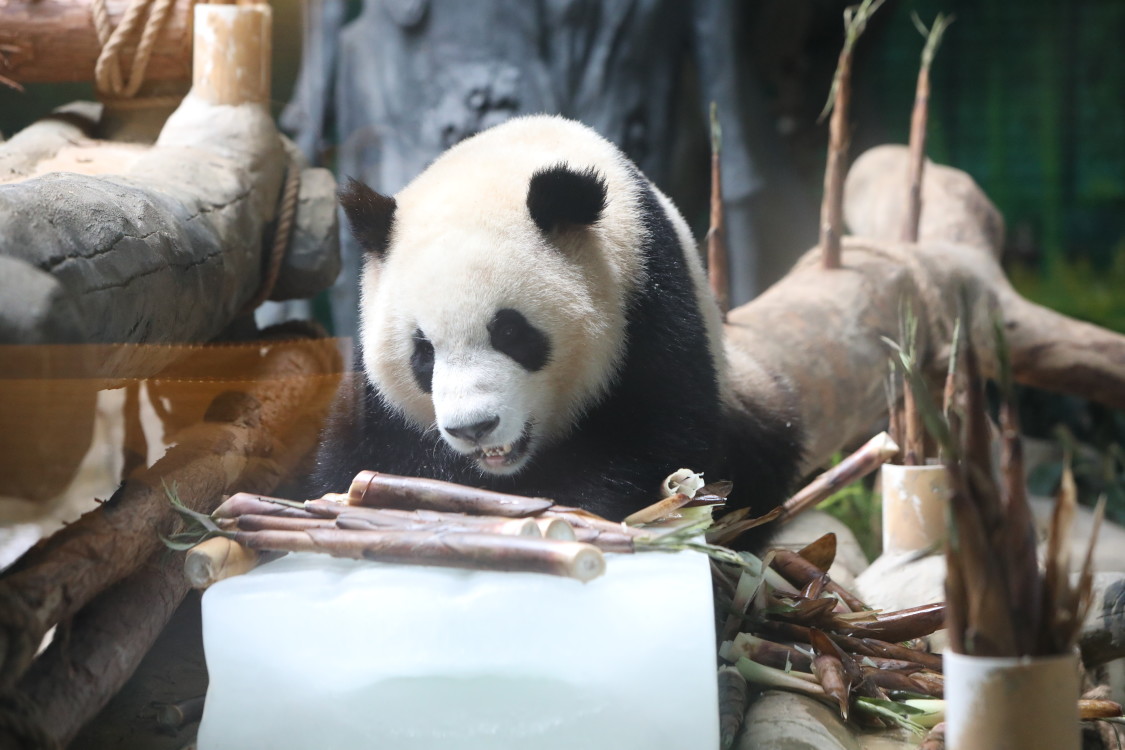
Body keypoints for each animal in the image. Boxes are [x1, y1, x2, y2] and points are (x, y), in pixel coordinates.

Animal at [312, 115, 796, 528]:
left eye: (510, 332)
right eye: (423, 354)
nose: (474, 428)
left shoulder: (649, 303)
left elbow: (651, 440)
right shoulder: (374, 402)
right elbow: (357, 459)